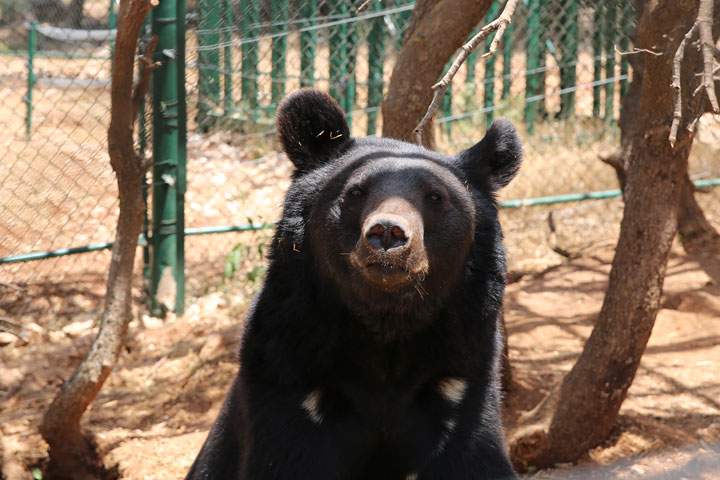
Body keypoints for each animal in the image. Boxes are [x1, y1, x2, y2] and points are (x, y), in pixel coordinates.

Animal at [186, 89, 522, 480]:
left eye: (436, 197)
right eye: (357, 191)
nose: (388, 233)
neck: (385, 326)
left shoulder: (462, 378)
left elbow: (473, 459)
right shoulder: (288, 374)